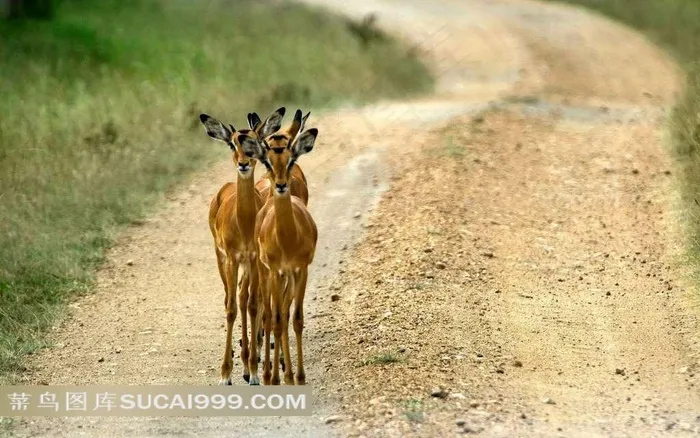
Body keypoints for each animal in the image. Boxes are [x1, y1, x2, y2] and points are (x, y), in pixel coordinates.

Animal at [199, 107, 285, 386]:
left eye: (255, 142)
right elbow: (231, 310)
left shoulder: (254, 259)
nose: (244, 163)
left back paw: (249, 364)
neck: (244, 224)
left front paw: (255, 371)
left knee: (244, 297)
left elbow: (253, 305)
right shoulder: (232, 258)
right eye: (231, 143)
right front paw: (225, 374)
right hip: (221, 259)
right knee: (231, 298)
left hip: (247, 266)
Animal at [240, 114, 319, 385]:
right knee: (266, 310)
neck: (287, 239)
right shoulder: (275, 271)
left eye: (291, 158)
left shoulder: (301, 269)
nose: (281, 185)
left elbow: (295, 319)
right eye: (267, 161)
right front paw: (272, 376)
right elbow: (274, 318)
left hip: (286, 275)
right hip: (266, 272)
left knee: (281, 312)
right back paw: (262, 371)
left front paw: (299, 376)